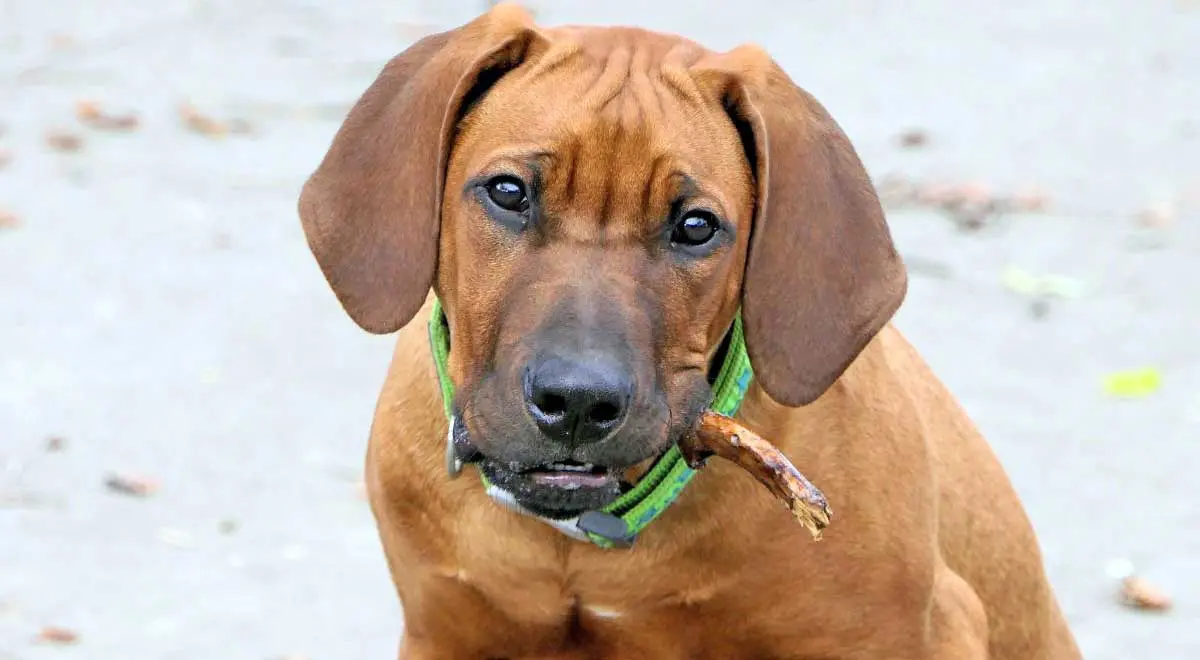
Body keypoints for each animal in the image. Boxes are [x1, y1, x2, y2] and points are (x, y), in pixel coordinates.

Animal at [295, 2, 1084, 657]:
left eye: (697, 227)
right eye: (509, 192)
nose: (577, 402)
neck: (587, 538)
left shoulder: (920, 630)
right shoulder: (445, 630)